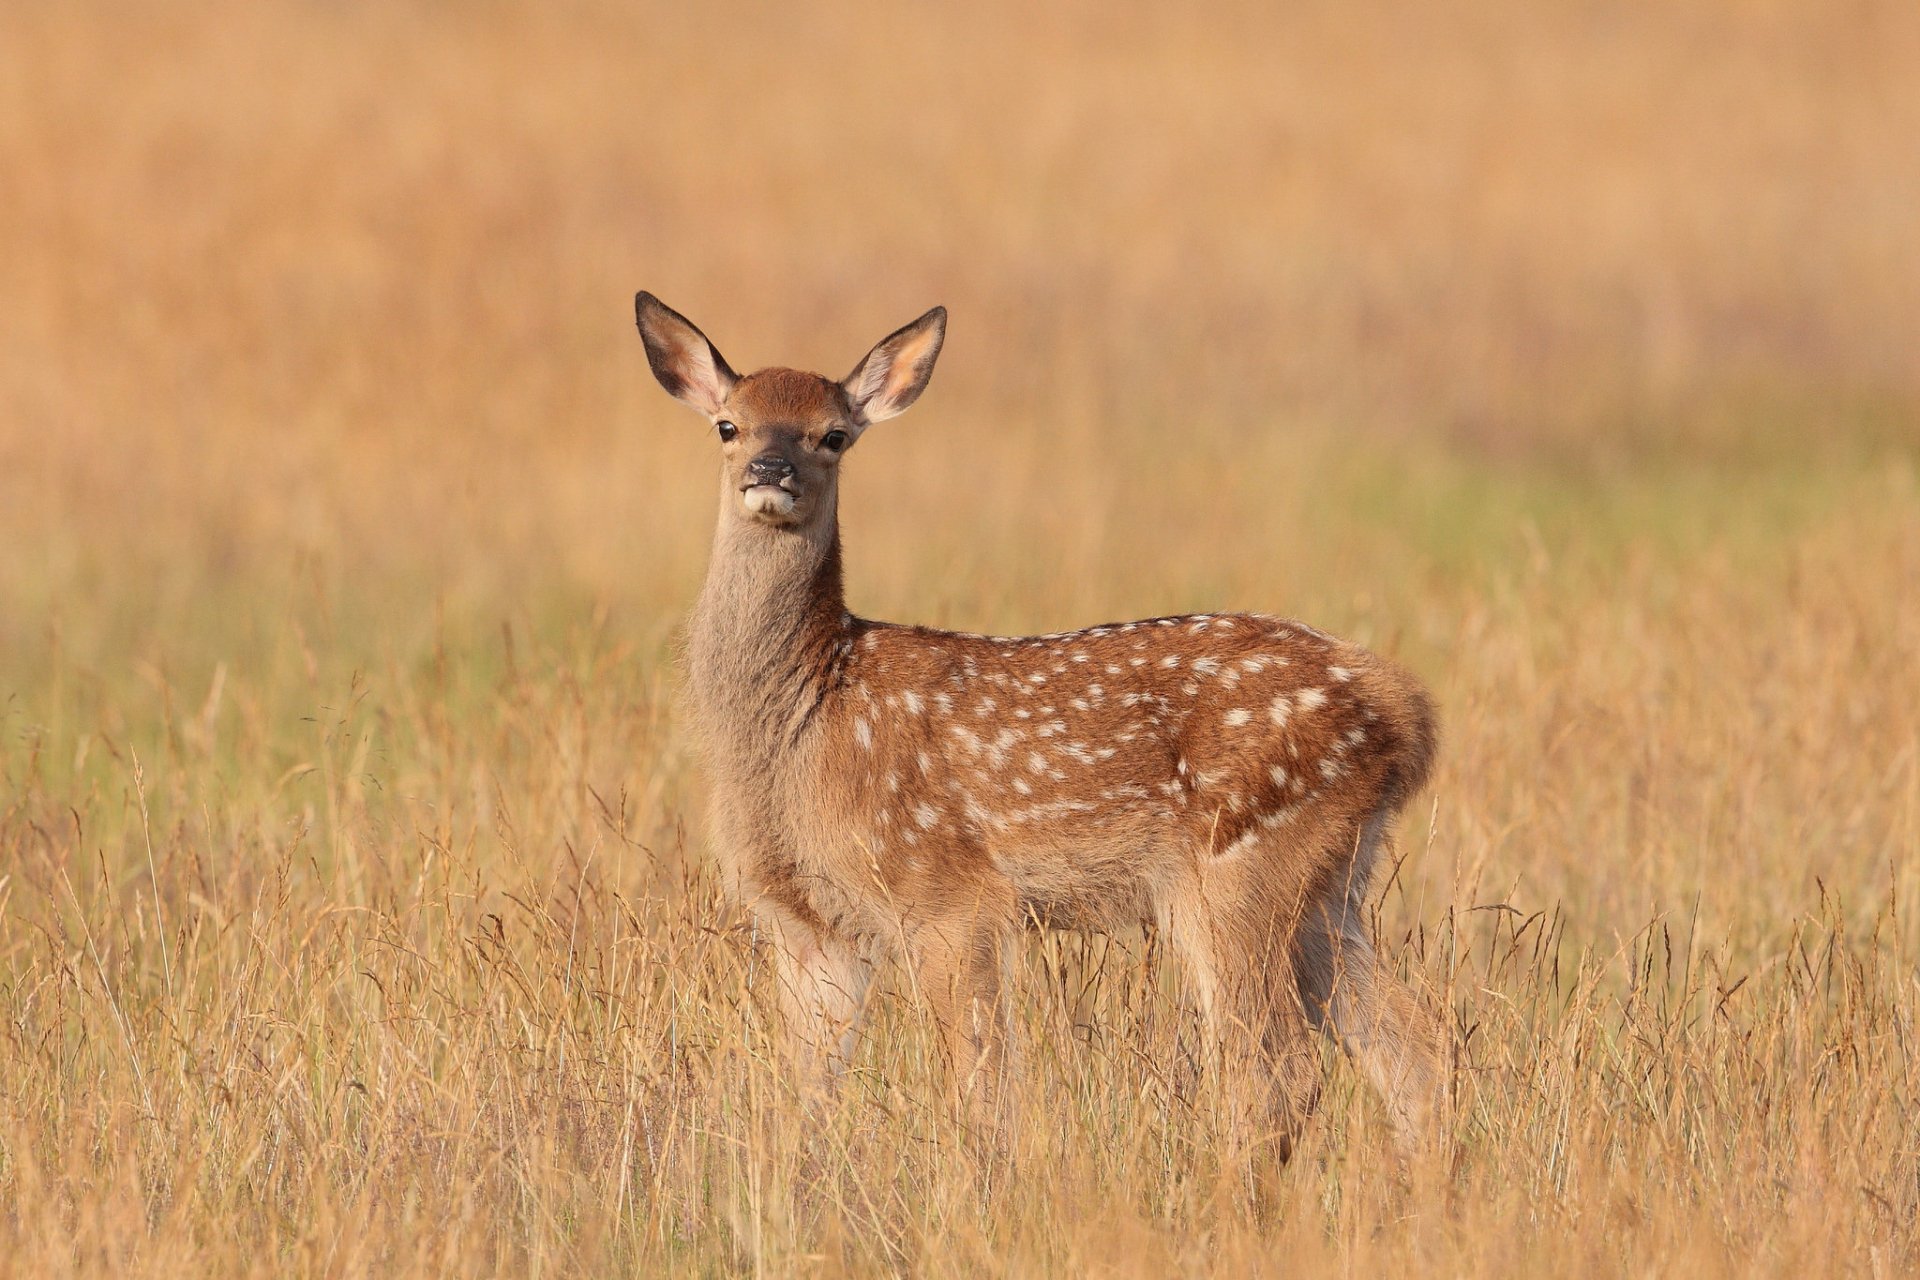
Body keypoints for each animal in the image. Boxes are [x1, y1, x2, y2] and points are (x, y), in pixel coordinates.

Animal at [634, 292, 1451, 1163]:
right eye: (729, 425)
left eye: (833, 434)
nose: (771, 472)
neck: (805, 719)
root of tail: (1403, 707)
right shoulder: (809, 923)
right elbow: (802, 1105)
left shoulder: (949, 893)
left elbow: (982, 1093)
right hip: (1329, 884)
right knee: (1415, 1050)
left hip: (1238, 868)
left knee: (1277, 1072)